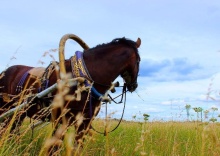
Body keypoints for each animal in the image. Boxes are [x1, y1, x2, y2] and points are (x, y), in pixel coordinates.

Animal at [0, 36, 141, 151]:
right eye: (139, 60)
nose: (134, 85)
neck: (85, 79)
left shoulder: (85, 122)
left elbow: (77, 147)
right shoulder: (60, 119)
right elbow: (54, 148)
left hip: (19, 113)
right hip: (6, 109)